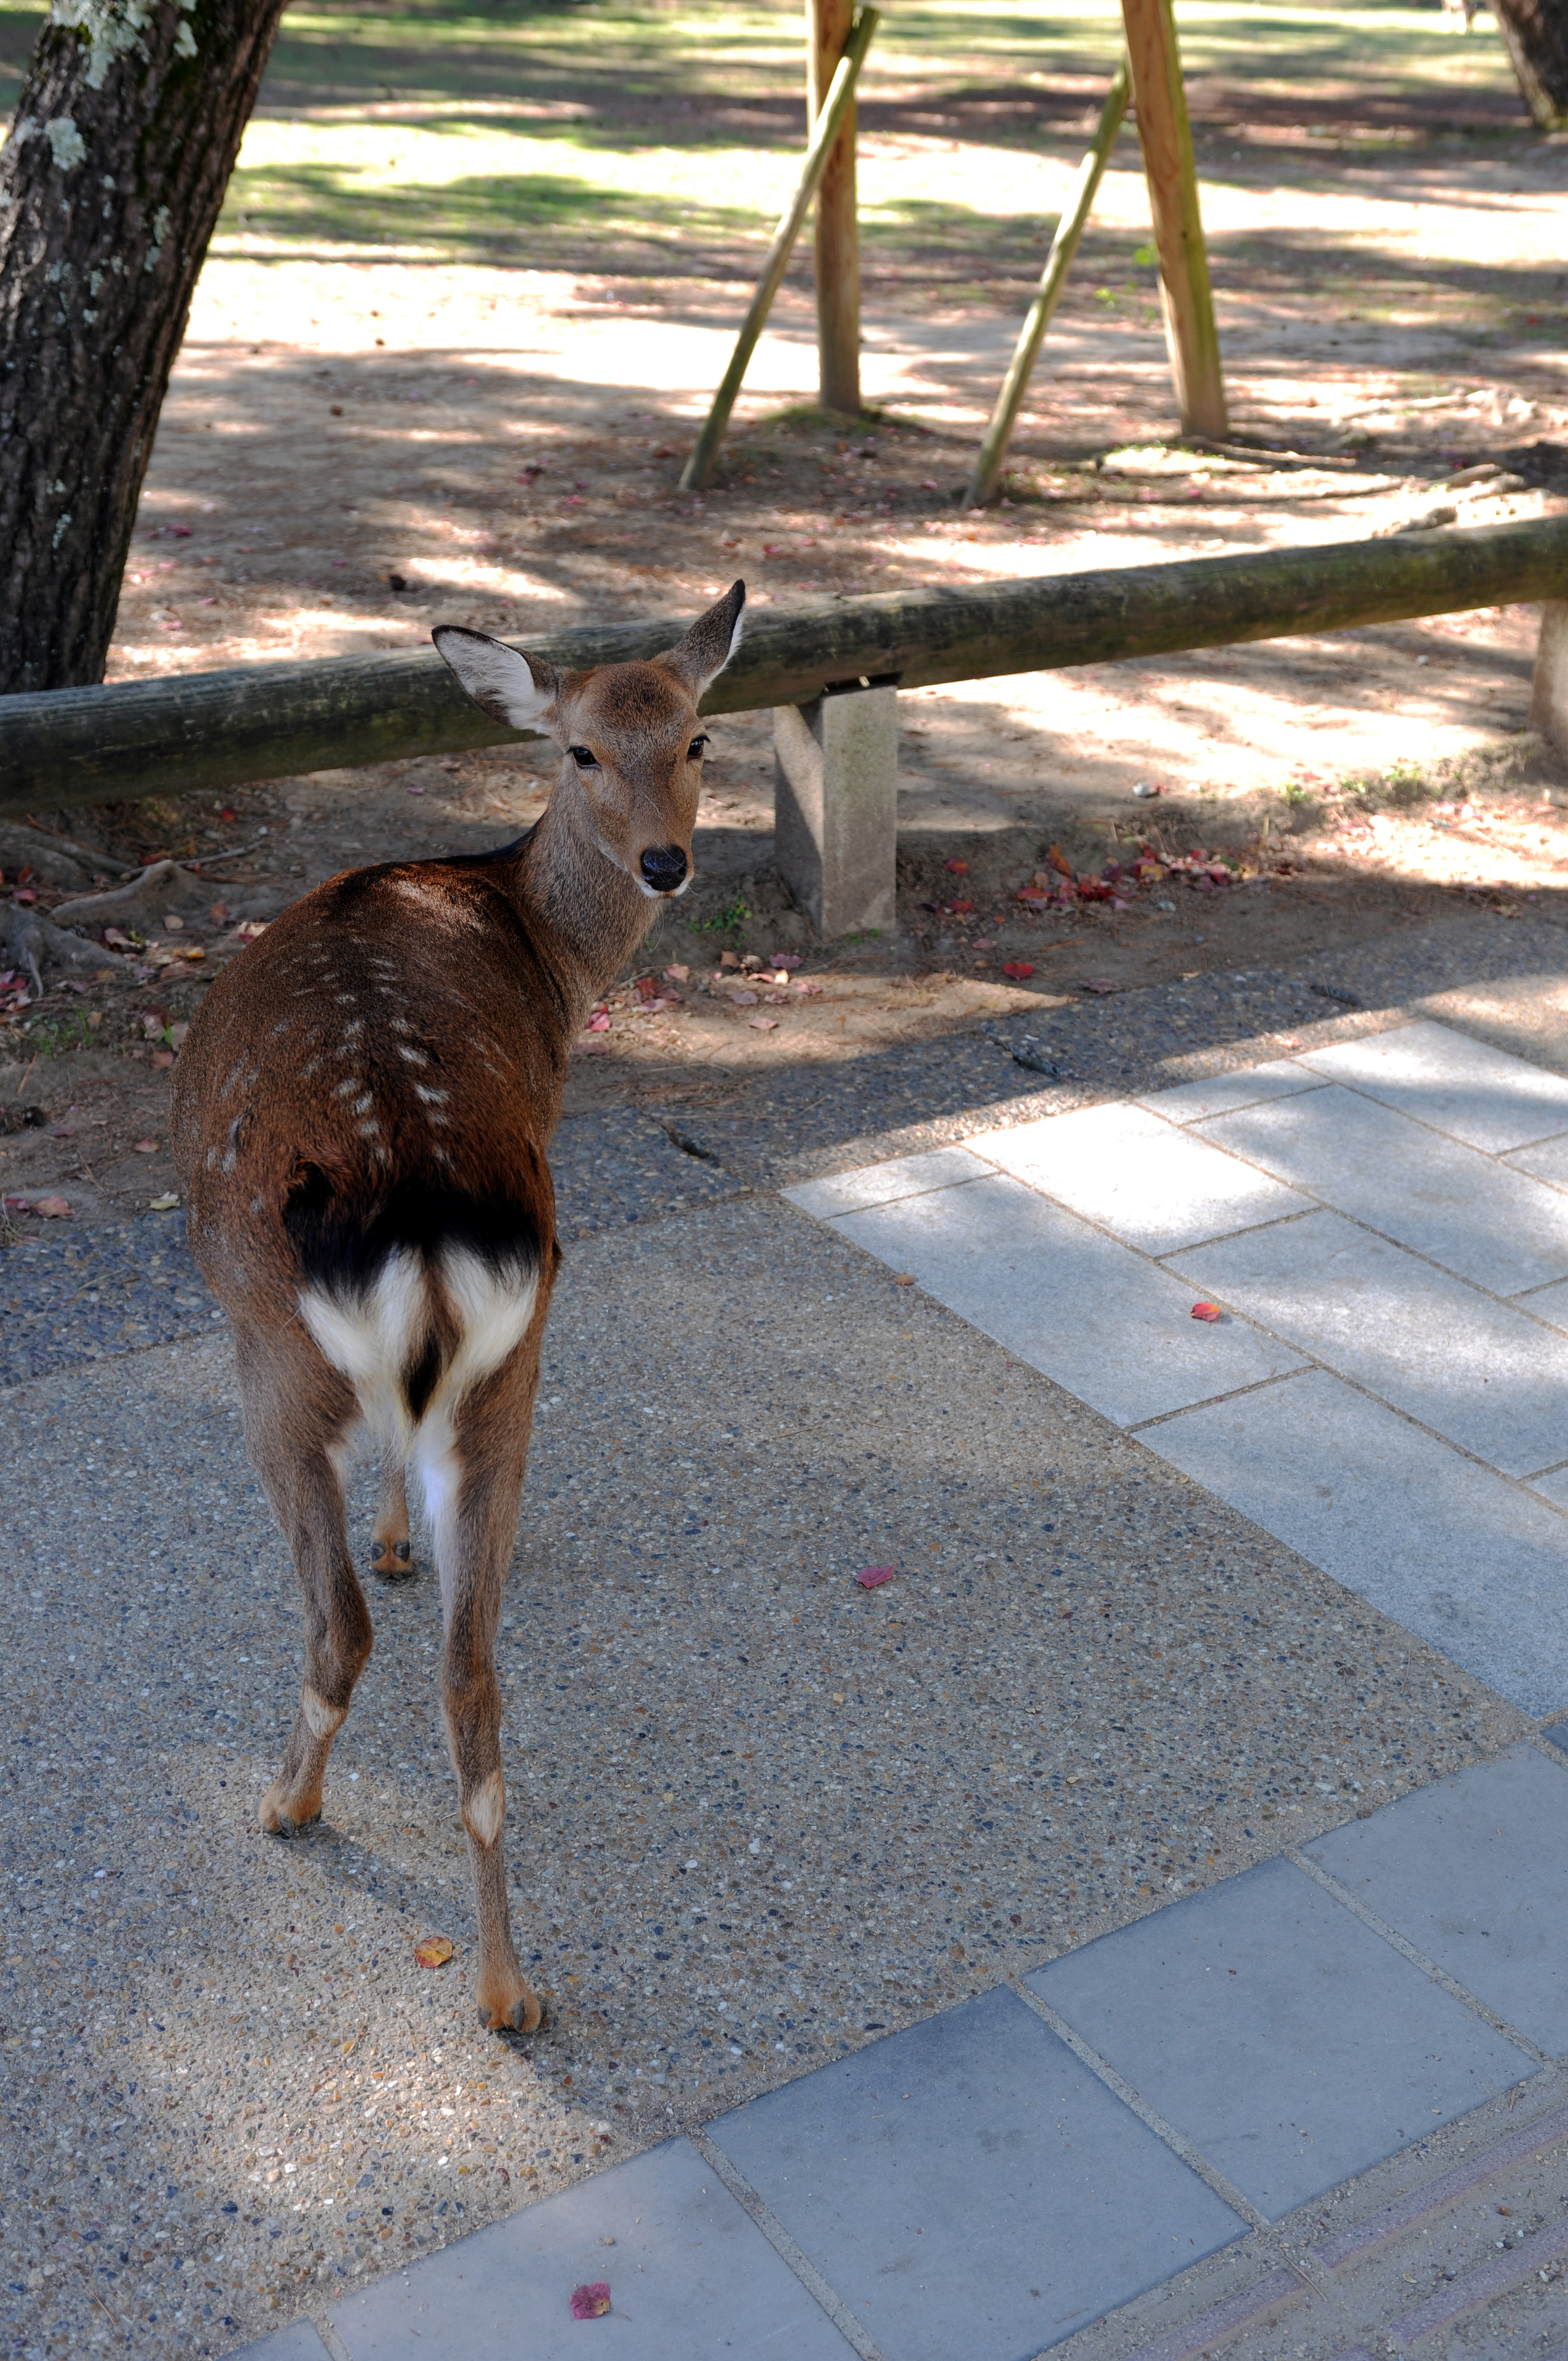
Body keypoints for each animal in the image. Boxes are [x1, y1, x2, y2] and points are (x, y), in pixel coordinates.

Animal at [171, 576, 746, 2030]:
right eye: (583, 749)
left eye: (698, 738)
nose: (667, 863)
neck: (540, 949)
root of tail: (426, 1218)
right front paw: (399, 1533)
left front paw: (384, 1539)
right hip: (514, 1364)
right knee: (472, 1680)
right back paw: (506, 1988)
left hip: (269, 1355)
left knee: (342, 1630)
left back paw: (287, 1802)